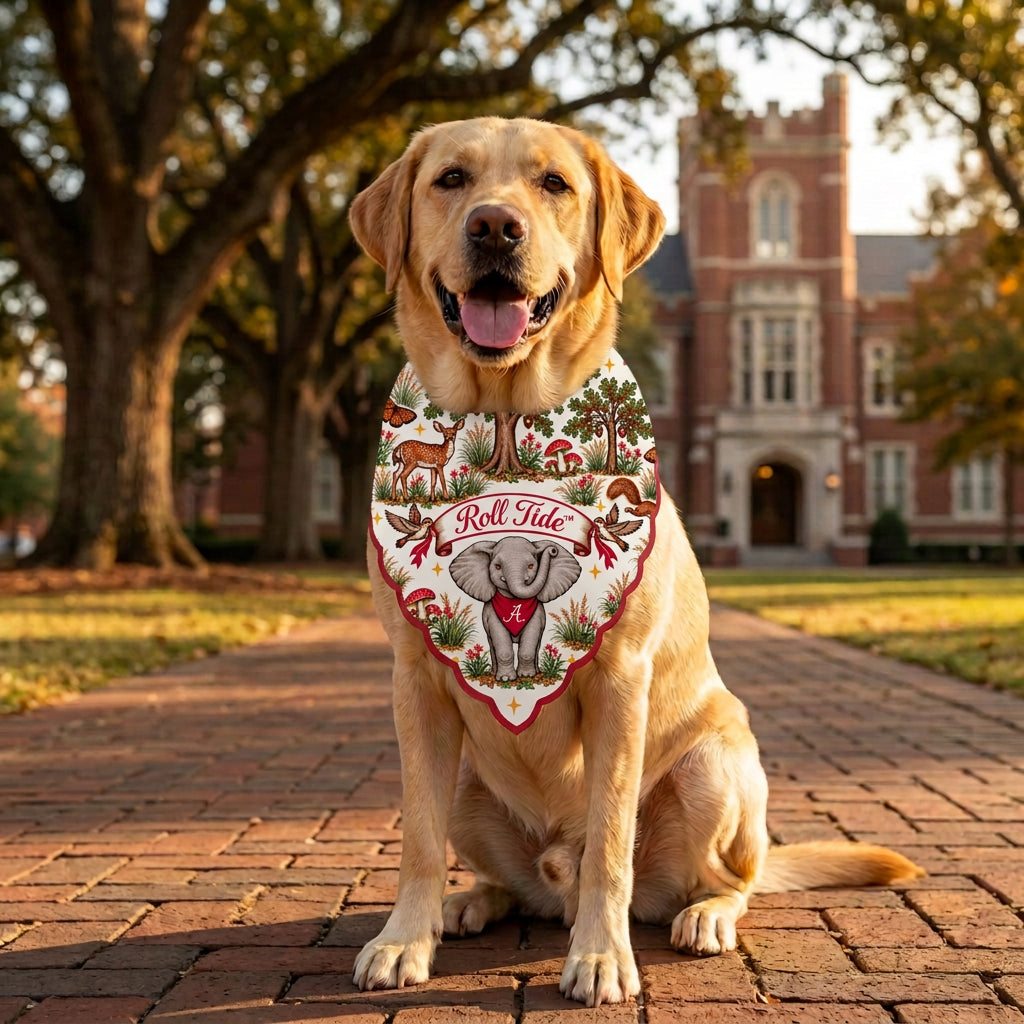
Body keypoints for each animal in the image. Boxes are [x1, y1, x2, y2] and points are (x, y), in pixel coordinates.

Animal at [450, 536, 582, 682]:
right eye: (497, 566)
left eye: (531, 566)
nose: (553, 550)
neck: (514, 600)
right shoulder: (492, 615)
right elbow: (501, 642)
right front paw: (505, 679)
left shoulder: (537, 614)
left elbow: (529, 642)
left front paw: (526, 676)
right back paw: (494, 673)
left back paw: (536, 672)